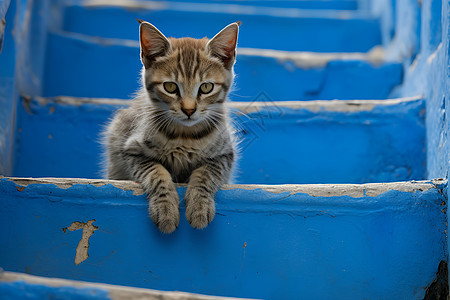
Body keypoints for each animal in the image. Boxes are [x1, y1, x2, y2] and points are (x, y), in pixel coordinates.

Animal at [104, 19, 241, 233]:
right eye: (170, 87)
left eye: (206, 87)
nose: (189, 110)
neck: (185, 135)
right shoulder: (130, 150)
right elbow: (156, 173)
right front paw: (165, 209)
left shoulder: (225, 154)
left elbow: (206, 173)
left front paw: (199, 206)